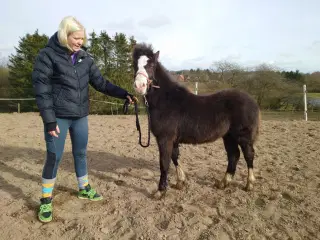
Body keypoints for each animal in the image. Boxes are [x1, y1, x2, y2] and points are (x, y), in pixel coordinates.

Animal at [132, 43, 260, 199]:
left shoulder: (165, 138)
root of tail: (252, 101)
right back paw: (223, 183)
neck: (167, 100)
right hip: (229, 136)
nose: (139, 86)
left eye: (151, 65)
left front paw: (161, 191)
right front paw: (180, 182)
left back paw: (249, 184)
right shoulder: (173, 139)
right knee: (233, 156)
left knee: (249, 155)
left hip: (243, 136)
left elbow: (164, 163)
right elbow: (175, 157)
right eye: (134, 65)